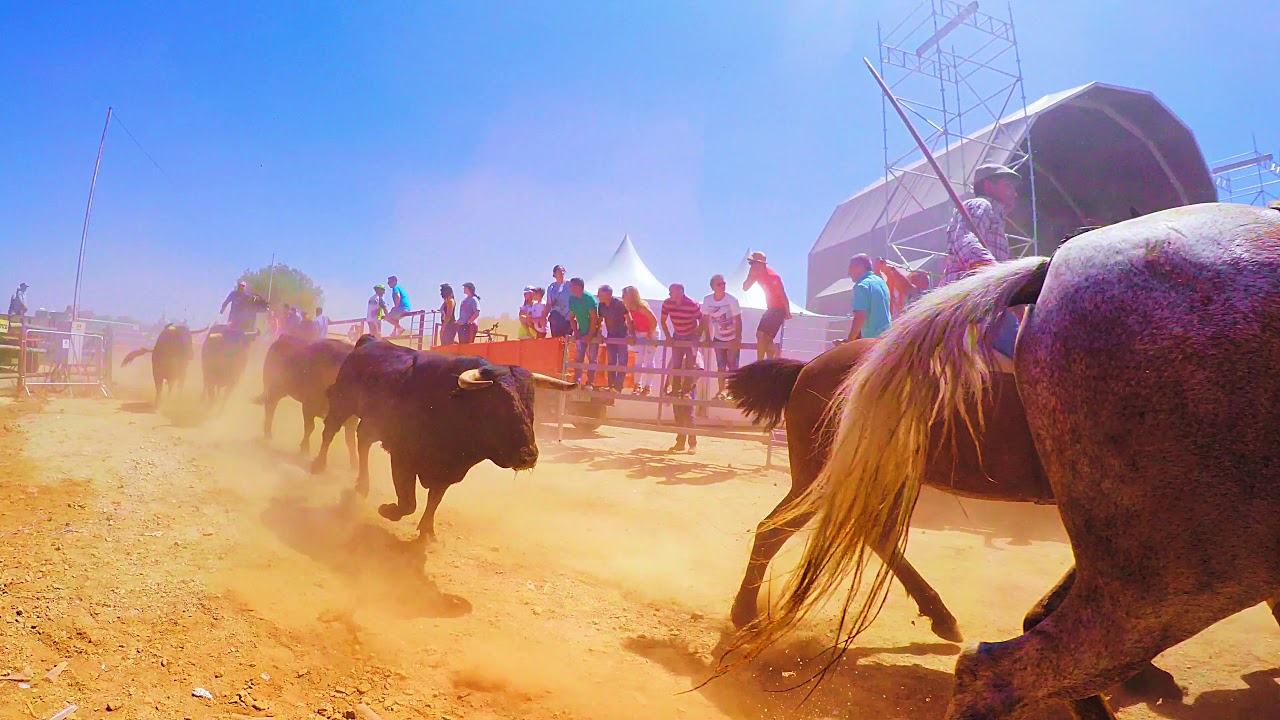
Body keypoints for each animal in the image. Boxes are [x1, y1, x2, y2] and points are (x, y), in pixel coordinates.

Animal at [726, 203, 1280, 719]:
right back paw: (744, 614)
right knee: (776, 530)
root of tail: (809, 368)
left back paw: (939, 616)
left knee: (871, 534)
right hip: (823, 475)